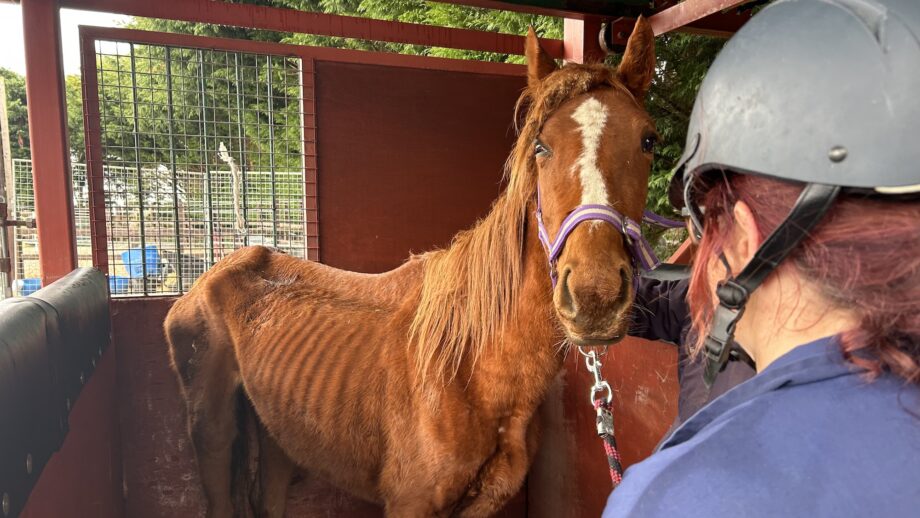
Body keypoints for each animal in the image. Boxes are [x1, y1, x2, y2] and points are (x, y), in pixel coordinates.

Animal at [164, 18, 657, 518]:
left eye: (648, 140)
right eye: (541, 146)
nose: (596, 295)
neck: (471, 363)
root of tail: (211, 273)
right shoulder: (411, 504)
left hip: (278, 437)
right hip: (212, 435)